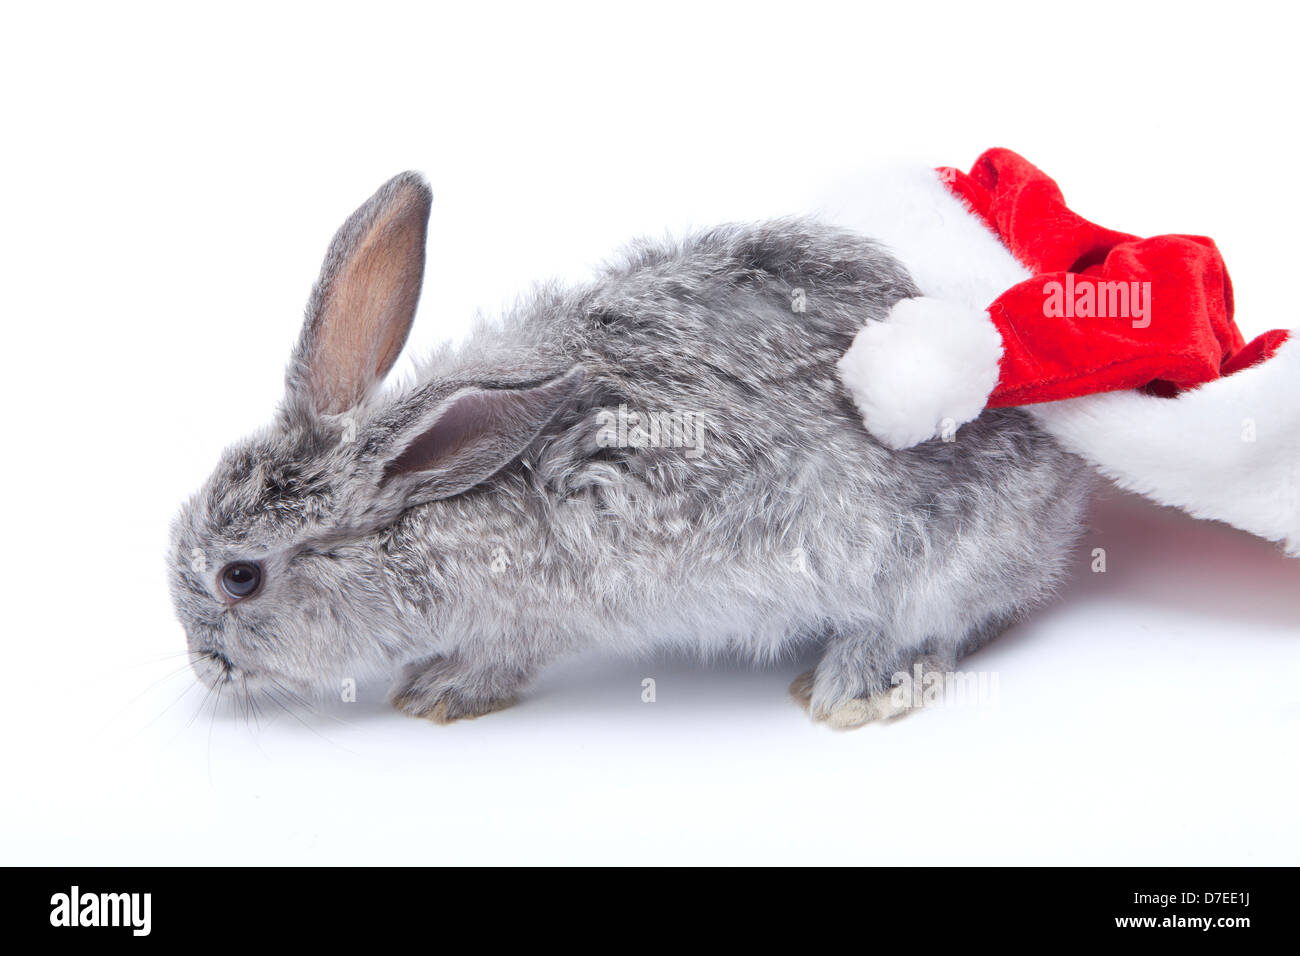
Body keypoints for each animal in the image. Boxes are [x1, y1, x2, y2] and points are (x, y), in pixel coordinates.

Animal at [167, 171, 1092, 728]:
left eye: (239, 577)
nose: (206, 669)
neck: (427, 505)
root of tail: (1063, 489)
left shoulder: (530, 617)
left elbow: (500, 660)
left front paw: (436, 693)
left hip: (924, 565)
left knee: (940, 624)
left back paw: (855, 687)